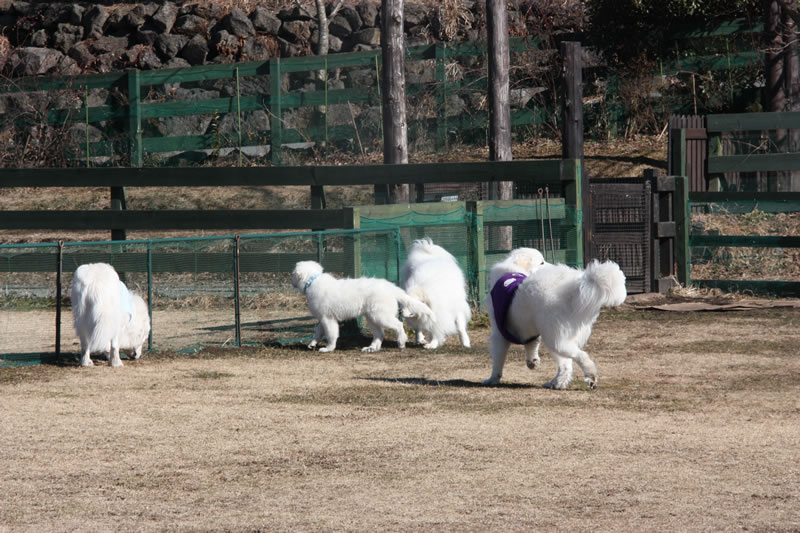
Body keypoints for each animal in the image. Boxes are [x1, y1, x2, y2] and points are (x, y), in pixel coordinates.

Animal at [290, 258, 434, 352]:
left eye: (292, 274)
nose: (290, 281)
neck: (312, 281)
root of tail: (391, 287)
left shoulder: (328, 319)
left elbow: (331, 334)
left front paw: (328, 348)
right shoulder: (323, 318)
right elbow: (318, 331)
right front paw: (312, 344)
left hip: (380, 315)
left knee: (398, 325)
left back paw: (401, 342)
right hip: (372, 317)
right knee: (379, 334)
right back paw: (372, 348)